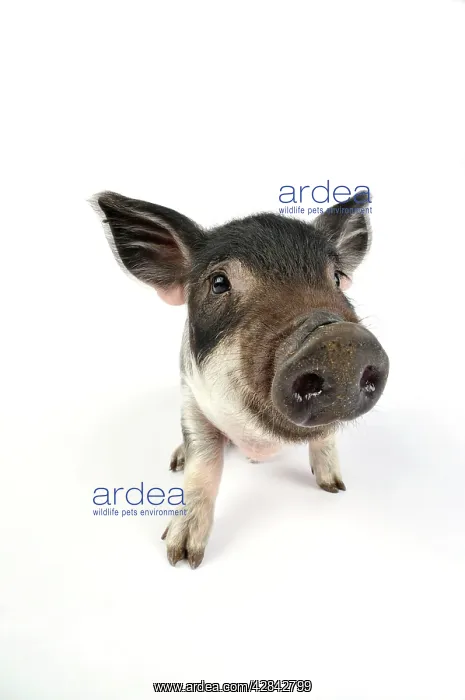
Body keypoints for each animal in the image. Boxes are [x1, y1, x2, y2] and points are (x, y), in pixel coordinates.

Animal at [93, 190, 389, 568]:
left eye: (336, 278)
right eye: (219, 283)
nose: (339, 341)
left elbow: (326, 439)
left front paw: (334, 487)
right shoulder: (191, 398)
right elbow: (203, 465)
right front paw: (182, 556)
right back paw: (176, 462)